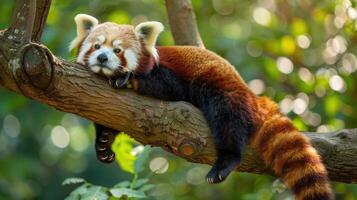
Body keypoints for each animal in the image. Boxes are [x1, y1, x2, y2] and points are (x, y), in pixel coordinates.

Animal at [71, 14, 332, 200]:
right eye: (96, 47)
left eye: (117, 50)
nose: (103, 58)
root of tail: (250, 93)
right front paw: (104, 143)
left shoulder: (168, 74)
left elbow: (168, 87)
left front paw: (127, 78)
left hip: (224, 93)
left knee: (228, 123)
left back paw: (225, 162)